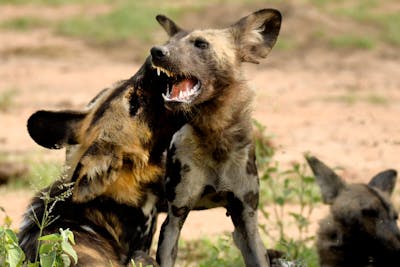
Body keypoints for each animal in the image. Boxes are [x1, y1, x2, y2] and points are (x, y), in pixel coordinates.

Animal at [150, 8, 282, 267]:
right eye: (169, 44)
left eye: (201, 44)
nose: (157, 51)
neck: (216, 134)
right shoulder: (174, 219)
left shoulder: (247, 220)